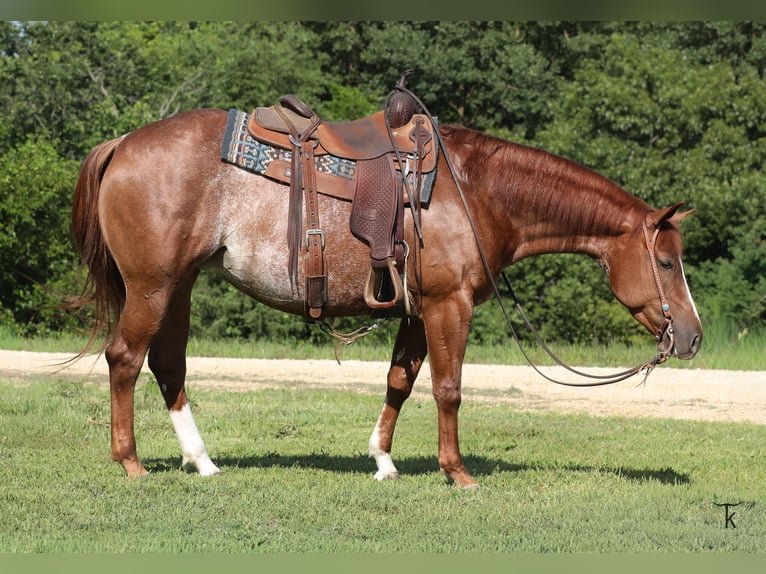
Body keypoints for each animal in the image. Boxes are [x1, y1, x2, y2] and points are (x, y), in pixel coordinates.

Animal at [70, 108, 702, 488]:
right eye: (666, 261)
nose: (692, 337)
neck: (476, 191)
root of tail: (123, 144)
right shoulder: (451, 305)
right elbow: (449, 389)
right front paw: (458, 473)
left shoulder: (419, 311)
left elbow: (400, 381)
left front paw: (383, 461)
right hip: (153, 286)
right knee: (125, 359)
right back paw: (131, 462)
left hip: (178, 286)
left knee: (167, 365)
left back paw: (202, 462)